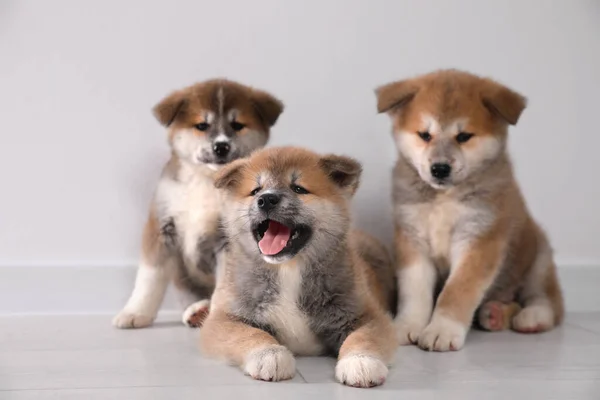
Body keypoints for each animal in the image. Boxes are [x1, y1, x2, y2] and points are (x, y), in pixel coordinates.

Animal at [113, 78, 284, 328]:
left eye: (237, 125)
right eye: (202, 125)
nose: (221, 146)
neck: (206, 182)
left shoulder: (228, 241)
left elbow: (224, 286)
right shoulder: (161, 226)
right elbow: (149, 277)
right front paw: (135, 312)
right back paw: (197, 310)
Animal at [200, 147, 398, 388]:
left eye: (298, 188)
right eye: (256, 190)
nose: (266, 200)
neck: (288, 269)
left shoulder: (367, 315)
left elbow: (363, 337)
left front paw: (360, 360)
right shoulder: (224, 319)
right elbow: (248, 334)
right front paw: (269, 353)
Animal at [378, 70, 564, 352]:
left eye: (464, 136)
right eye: (425, 135)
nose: (439, 168)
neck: (444, 198)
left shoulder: (479, 239)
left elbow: (456, 292)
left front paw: (442, 330)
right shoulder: (412, 240)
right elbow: (414, 292)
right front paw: (407, 325)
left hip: (538, 261)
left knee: (547, 301)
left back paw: (531, 317)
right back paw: (494, 313)